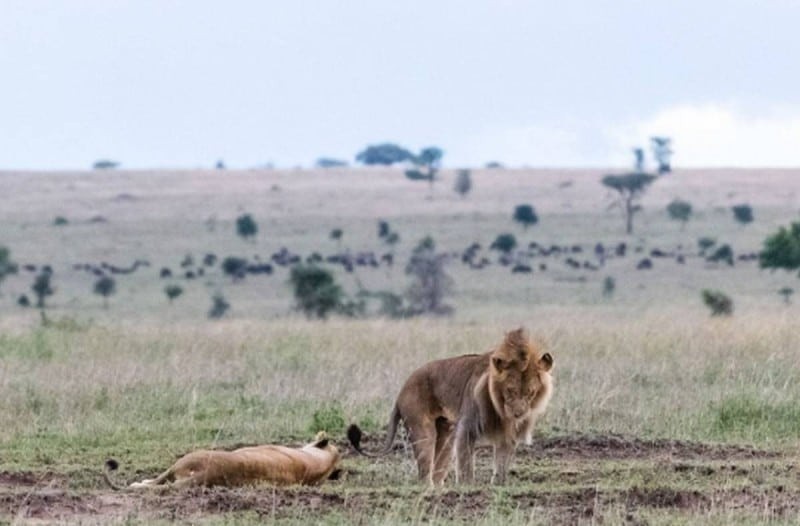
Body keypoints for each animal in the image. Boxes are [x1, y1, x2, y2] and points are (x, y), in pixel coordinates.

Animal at [346, 330, 552, 486]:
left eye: (530, 392)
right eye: (510, 390)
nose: (519, 413)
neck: (500, 408)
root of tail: (402, 390)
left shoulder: (507, 433)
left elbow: (502, 461)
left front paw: (498, 484)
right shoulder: (468, 426)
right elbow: (466, 462)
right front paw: (468, 486)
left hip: (446, 431)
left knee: (438, 464)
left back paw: (439, 487)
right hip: (422, 427)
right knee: (425, 466)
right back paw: (429, 488)